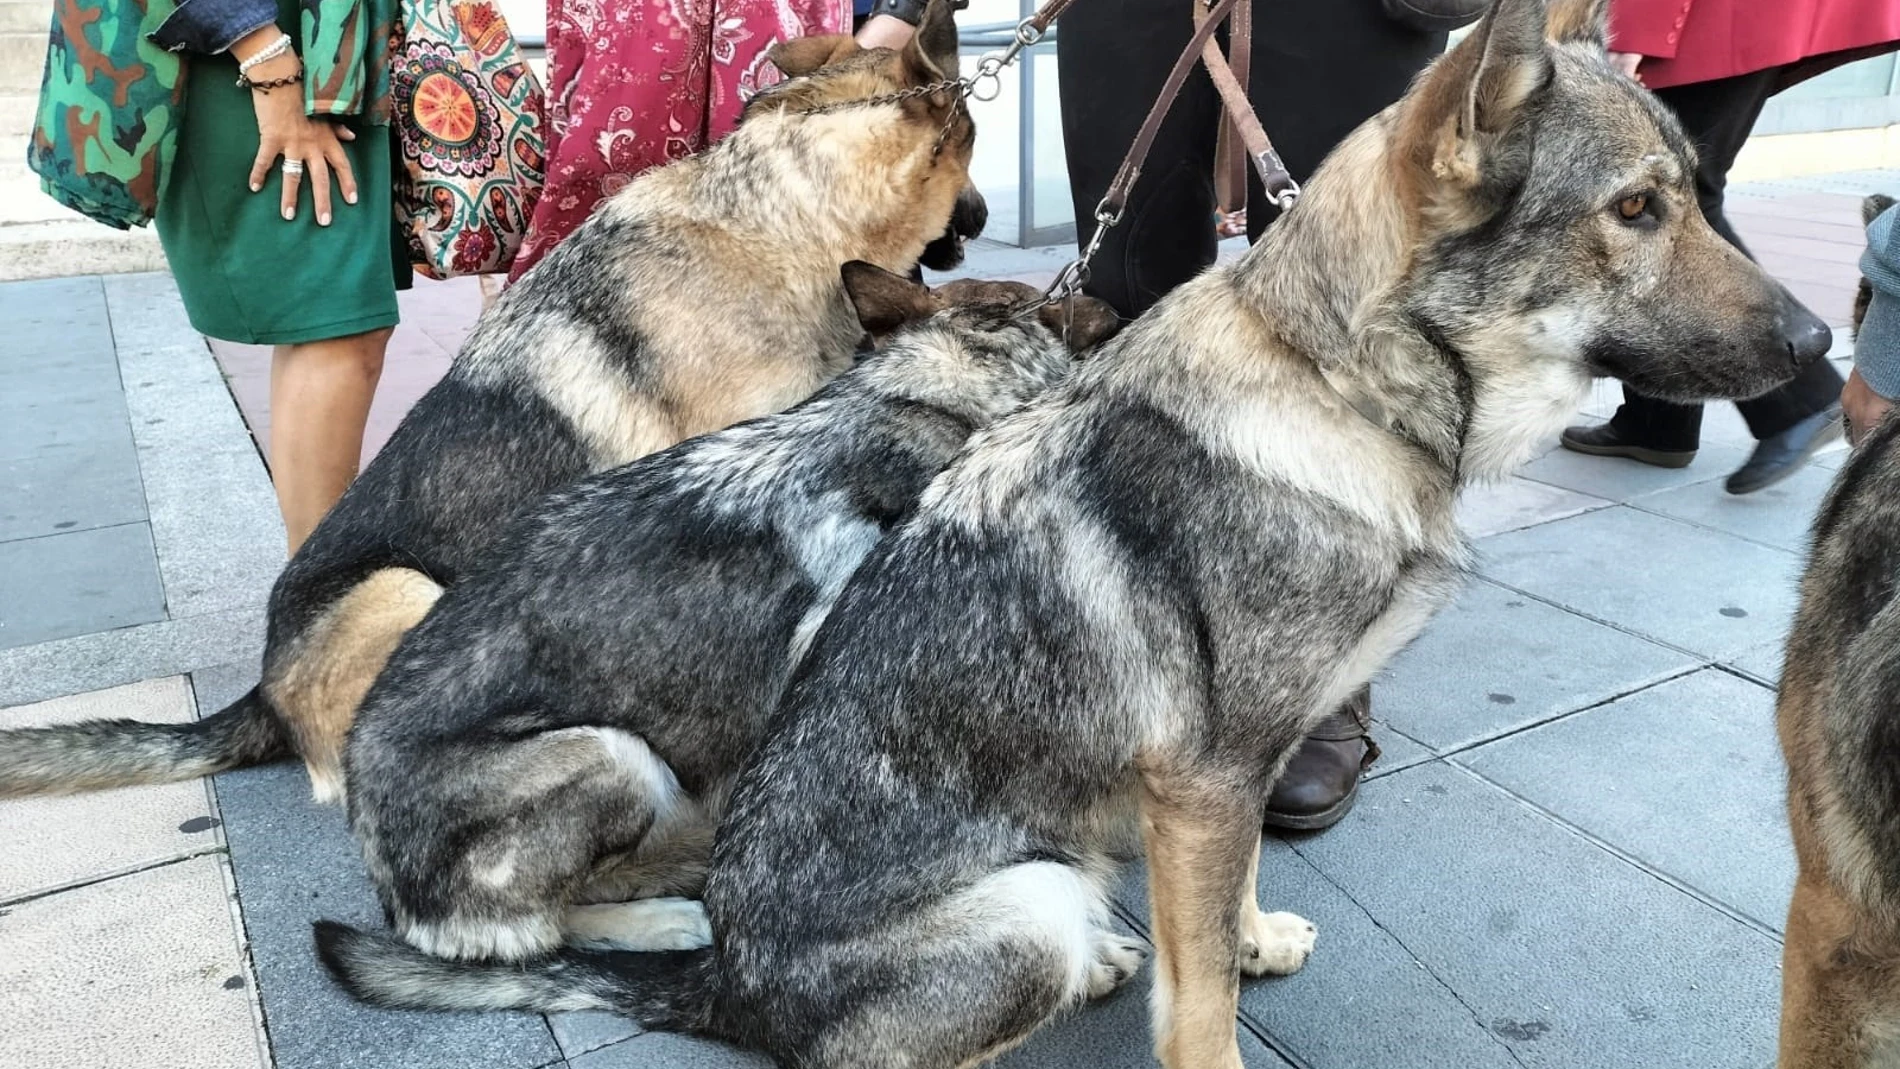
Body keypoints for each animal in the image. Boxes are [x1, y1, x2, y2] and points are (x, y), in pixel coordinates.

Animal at [342, 263, 1117, 964]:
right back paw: (666, 917)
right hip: (614, 755)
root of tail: (391, 891)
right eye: (1059, 296)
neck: (926, 398)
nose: (1112, 302)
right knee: (546, 927)